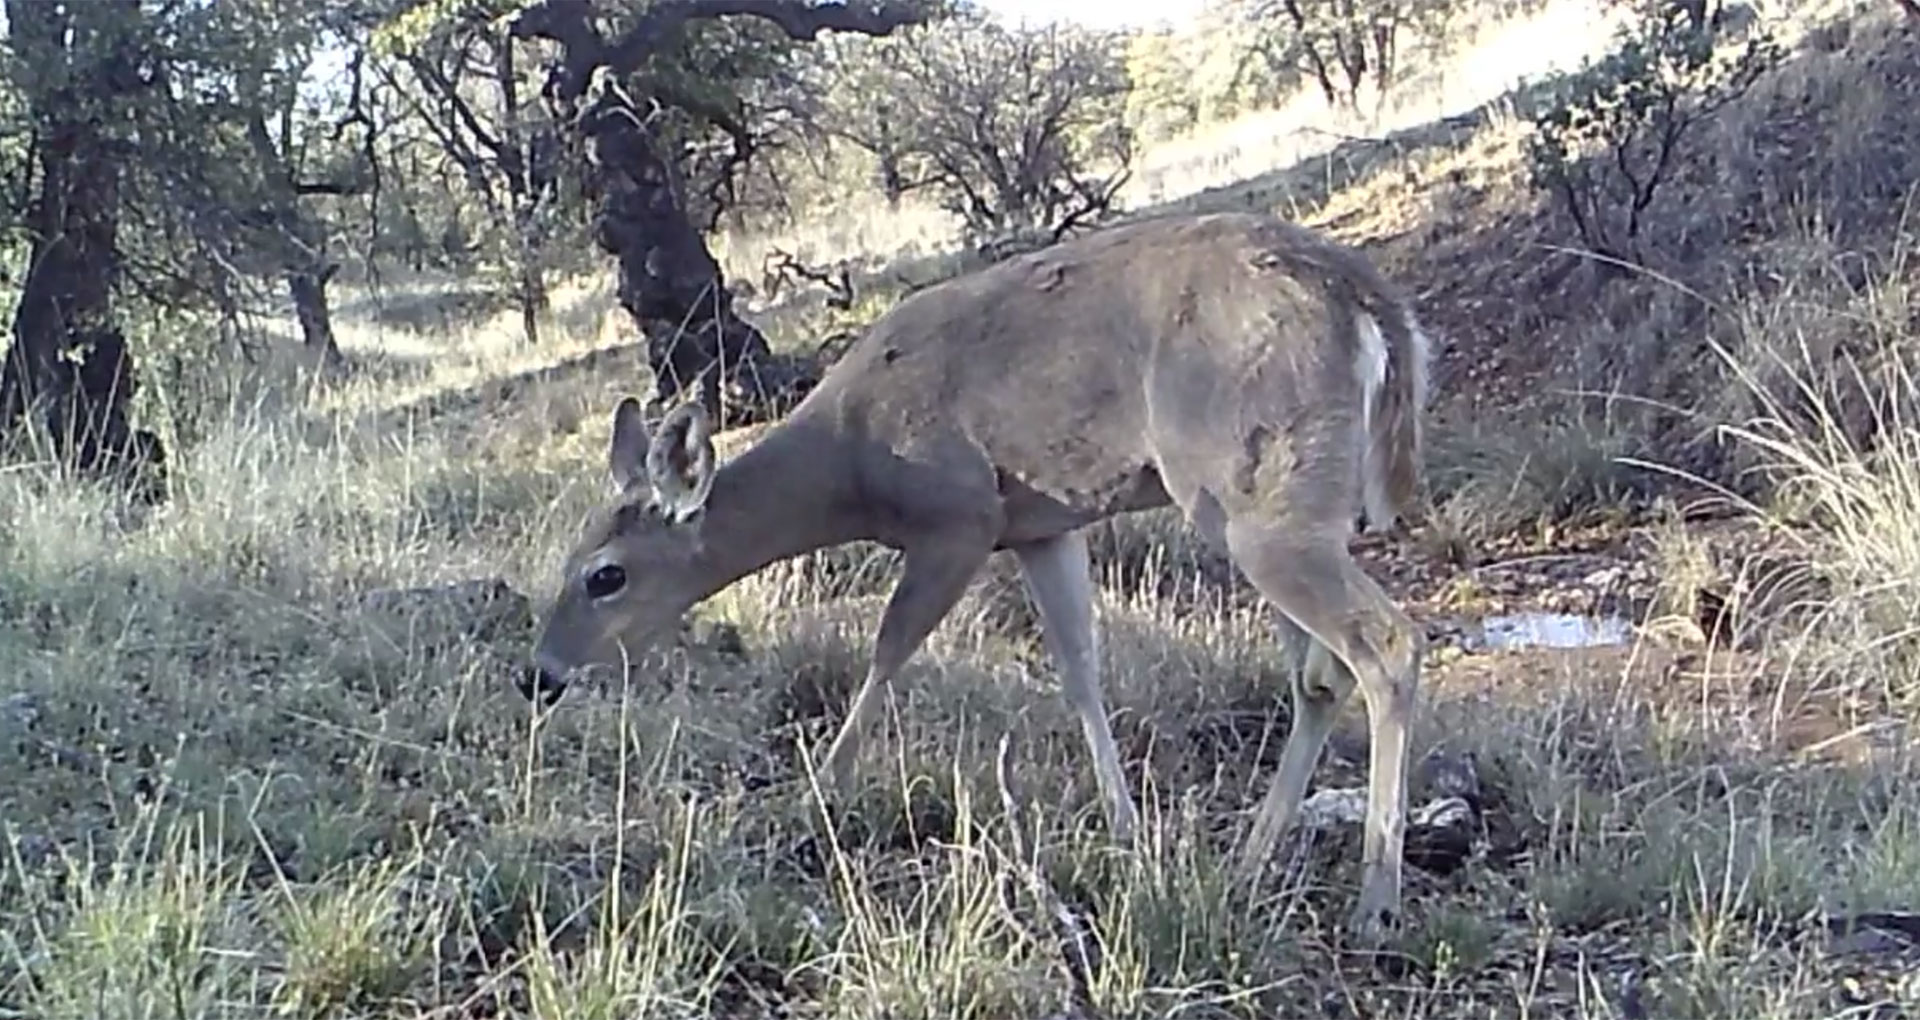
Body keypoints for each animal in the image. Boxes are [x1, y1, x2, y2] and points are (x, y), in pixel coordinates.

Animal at [522, 209, 1428, 941]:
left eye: (604, 576)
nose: (539, 675)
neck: (852, 465)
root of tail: (1374, 309)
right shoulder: (1040, 526)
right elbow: (1079, 671)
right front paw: (1126, 830)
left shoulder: (959, 518)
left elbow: (887, 652)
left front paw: (814, 795)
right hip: (1267, 503)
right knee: (1320, 676)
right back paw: (1251, 856)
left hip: (1261, 502)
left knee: (1386, 644)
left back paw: (1376, 899)